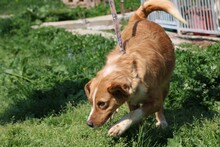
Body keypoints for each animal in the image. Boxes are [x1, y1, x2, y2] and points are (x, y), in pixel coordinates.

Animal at [84, 0, 186, 137]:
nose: (89, 124)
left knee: (160, 108)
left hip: (165, 85)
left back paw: (162, 122)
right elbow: (133, 113)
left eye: (102, 104)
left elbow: (135, 114)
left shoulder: (156, 100)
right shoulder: (131, 101)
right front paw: (136, 128)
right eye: (91, 102)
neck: (133, 71)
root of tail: (139, 18)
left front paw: (118, 127)